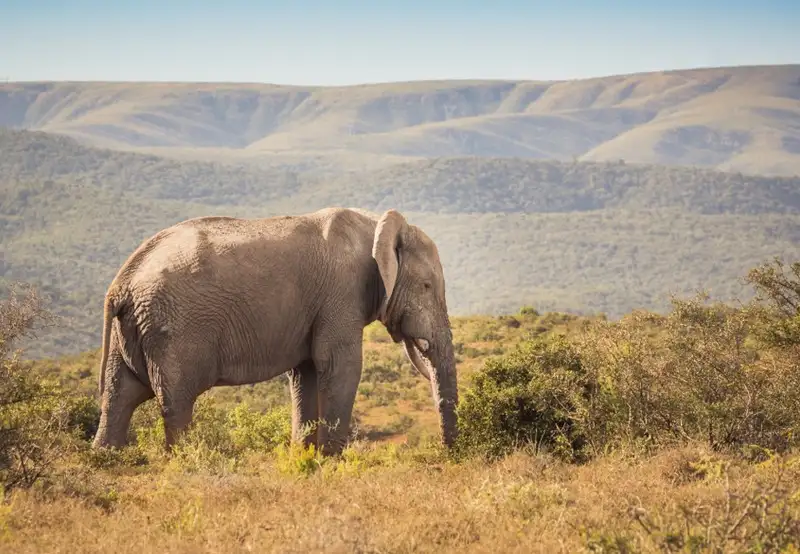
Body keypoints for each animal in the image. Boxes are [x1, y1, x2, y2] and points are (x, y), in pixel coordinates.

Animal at [91, 207, 459, 455]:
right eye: (427, 286)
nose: (446, 452)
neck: (378, 225)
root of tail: (119, 284)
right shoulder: (340, 294)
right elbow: (341, 367)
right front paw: (332, 463)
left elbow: (306, 373)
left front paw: (305, 460)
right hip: (172, 330)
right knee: (175, 403)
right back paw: (184, 464)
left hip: (134, 330)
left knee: (118, 397)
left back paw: (108, 460)